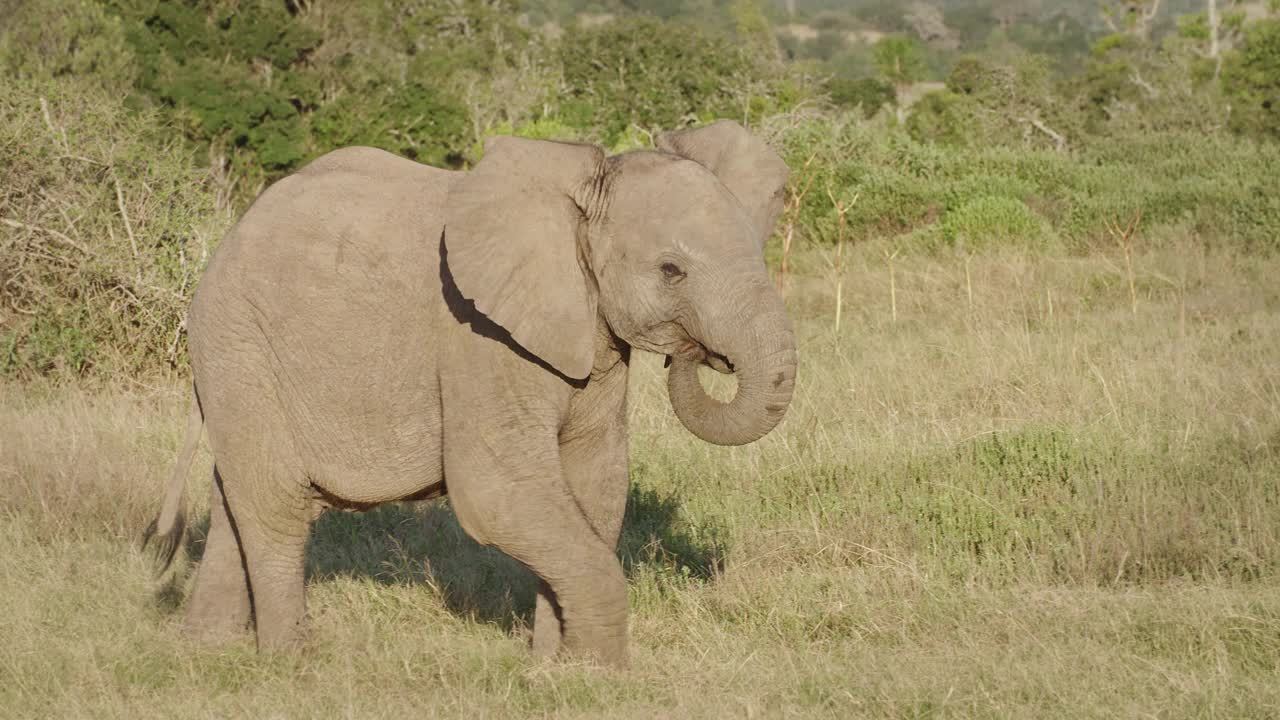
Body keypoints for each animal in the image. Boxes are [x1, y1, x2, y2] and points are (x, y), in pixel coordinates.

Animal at [145, 119, 793, 666]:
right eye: (670, 271)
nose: (701, 354)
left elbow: (597, 487)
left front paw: (554, 670)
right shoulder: (478, 338)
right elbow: (497, 492)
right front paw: (601, 677)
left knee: (235, 497)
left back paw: (208, 650)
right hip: (238, 341)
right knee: (275, 504)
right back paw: (291, 663)